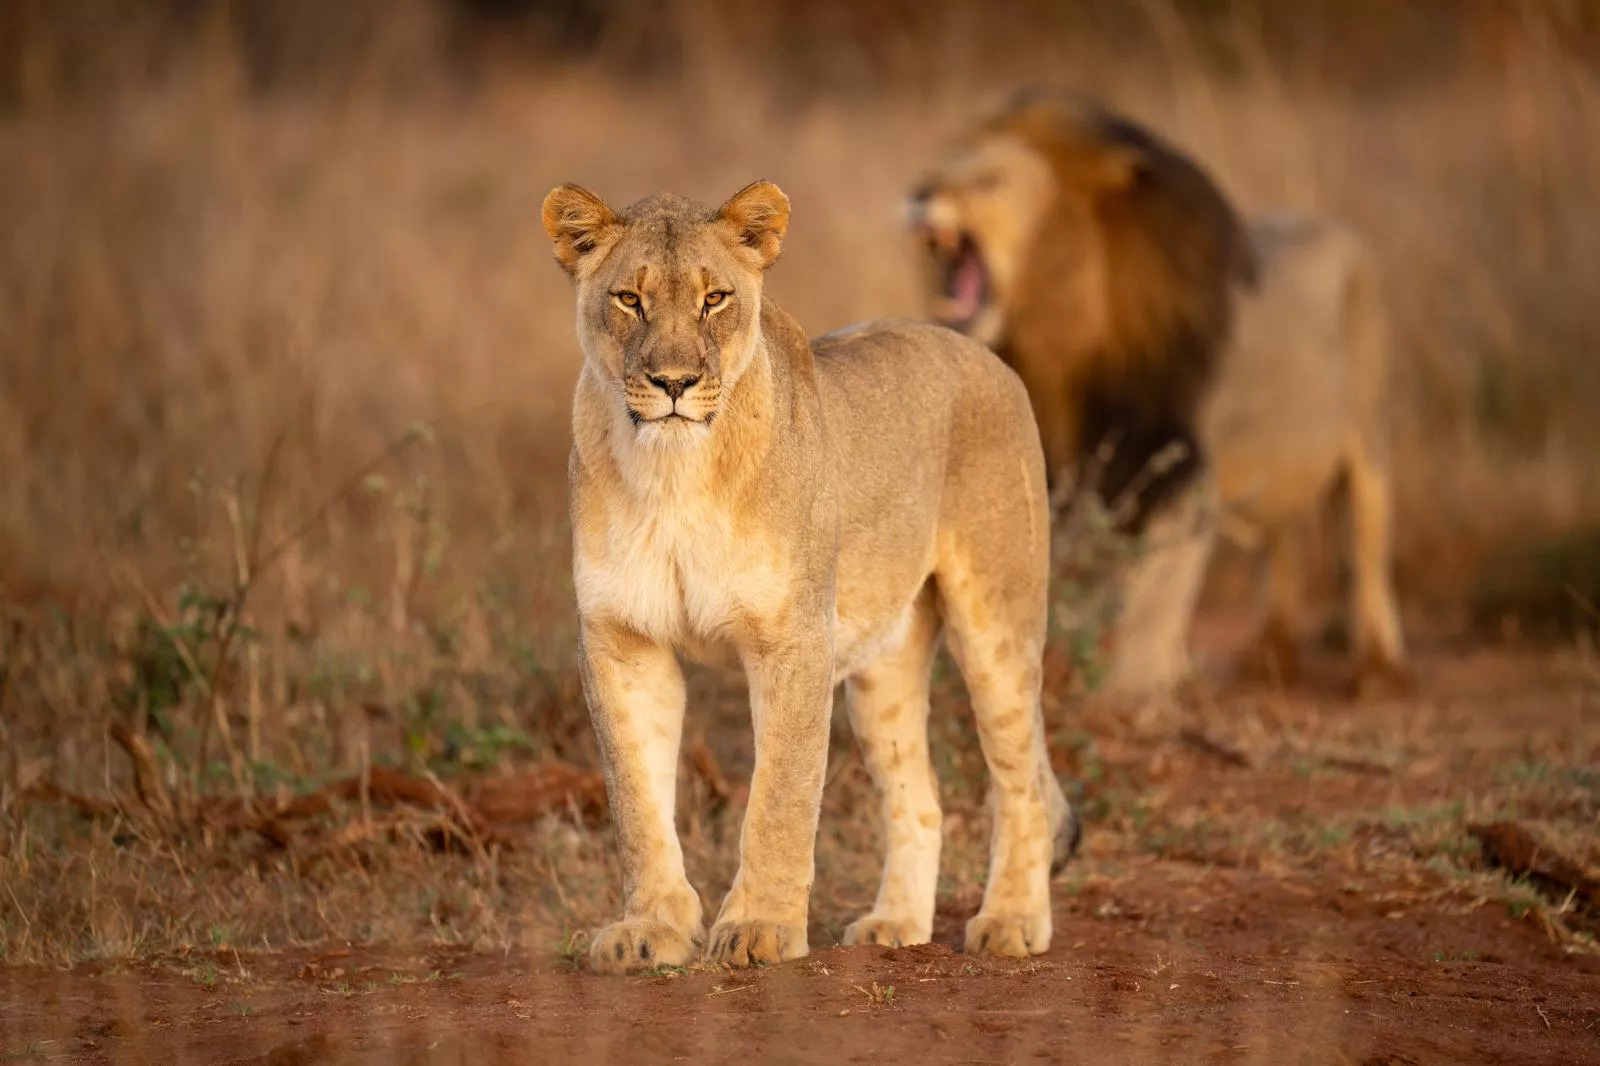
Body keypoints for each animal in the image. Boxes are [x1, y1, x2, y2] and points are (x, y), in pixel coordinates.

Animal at [542, 179, 1079, 975]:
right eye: (629, 299)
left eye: (715, 299)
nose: (674, 382)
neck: (672, 474)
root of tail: (987, 355)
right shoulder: (621, 639)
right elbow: (637, 800)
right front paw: (652, 929)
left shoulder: (793, 640)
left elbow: (781, 794)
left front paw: (759, 928)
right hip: (882, 663)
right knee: (920, 798)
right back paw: (896, 924)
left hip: (997, 626)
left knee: (1020, 784)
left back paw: (1011, 921)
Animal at [906, 93, 1409, 695]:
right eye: (939, 167)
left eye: (990, 181)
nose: (919, 193)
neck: (1064, 340)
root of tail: (1333, 225)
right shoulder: (1066, 459)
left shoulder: (1181, 467)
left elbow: (1155, 595)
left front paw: (1137, 689)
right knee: (1282, 538)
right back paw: (1271, 655)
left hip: (1371, 438)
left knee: (1369, 550)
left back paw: (1379, 668)